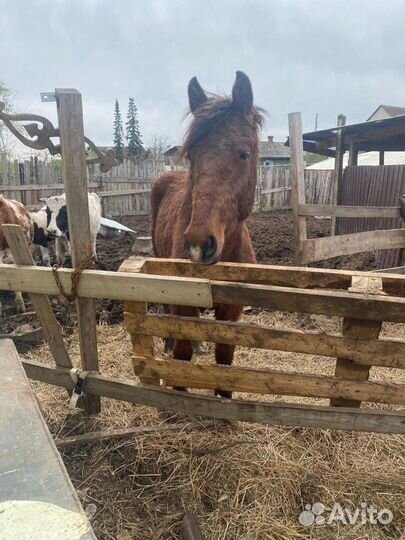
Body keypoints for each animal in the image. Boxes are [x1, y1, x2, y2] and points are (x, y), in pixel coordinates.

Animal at [150, 71, 264, 396]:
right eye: (192, 155)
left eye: (244, 154)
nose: (200, 243)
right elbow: (182, 357)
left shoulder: (232, 310)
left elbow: (224, 358)